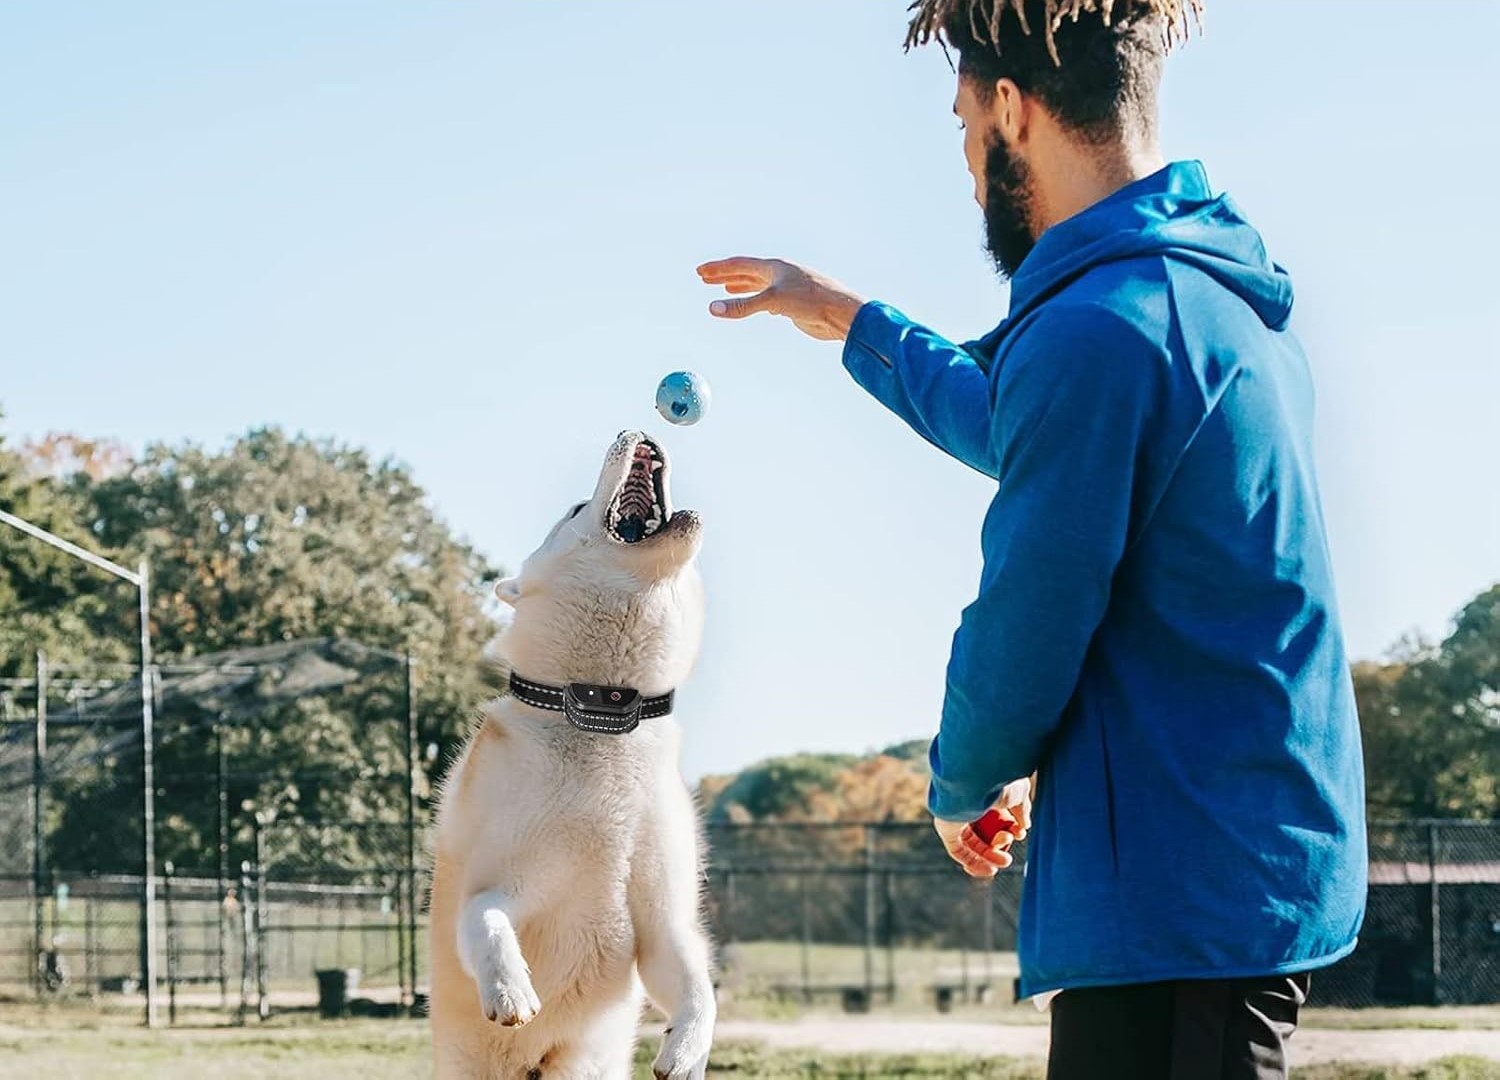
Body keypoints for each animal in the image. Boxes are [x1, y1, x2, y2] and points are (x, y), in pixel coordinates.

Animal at [432, 429, 717, 1080]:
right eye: (575, 510)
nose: (638, 430)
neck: (604, 715)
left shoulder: (664, 924)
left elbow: (698, 984)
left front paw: (688, 1047)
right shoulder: (496, 885)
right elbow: (485, 922)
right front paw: (511, 988)